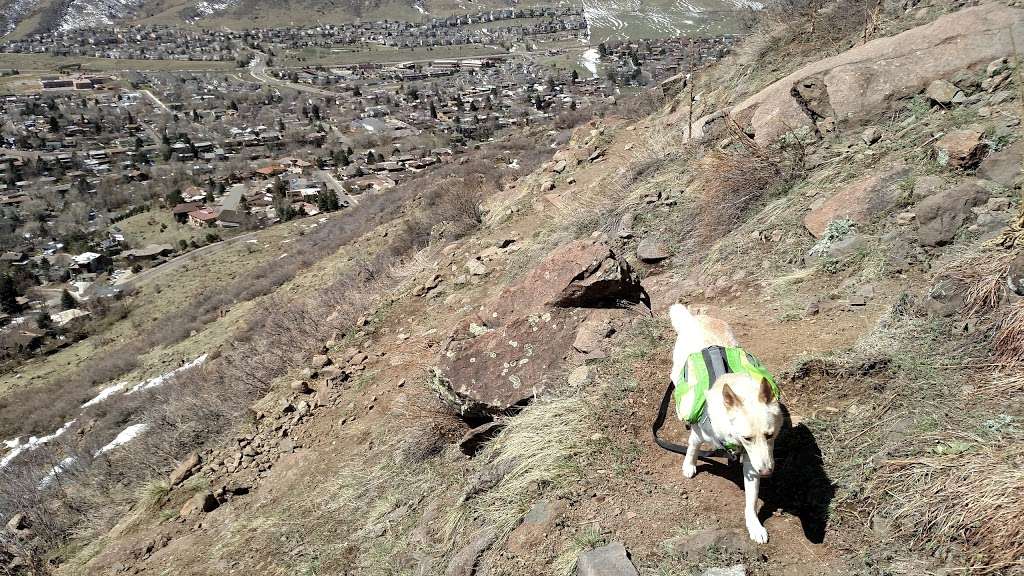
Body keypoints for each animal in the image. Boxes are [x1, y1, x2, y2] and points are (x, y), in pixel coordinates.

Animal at [671, 303, 782, 541]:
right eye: (747, 437)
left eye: (770, 435)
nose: (766, 472)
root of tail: (695, 318)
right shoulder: (699, 435)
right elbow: (692, 448)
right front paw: (689, 465)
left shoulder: (753, 460)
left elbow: (751, 500)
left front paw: (754, 525)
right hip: (678, 374)